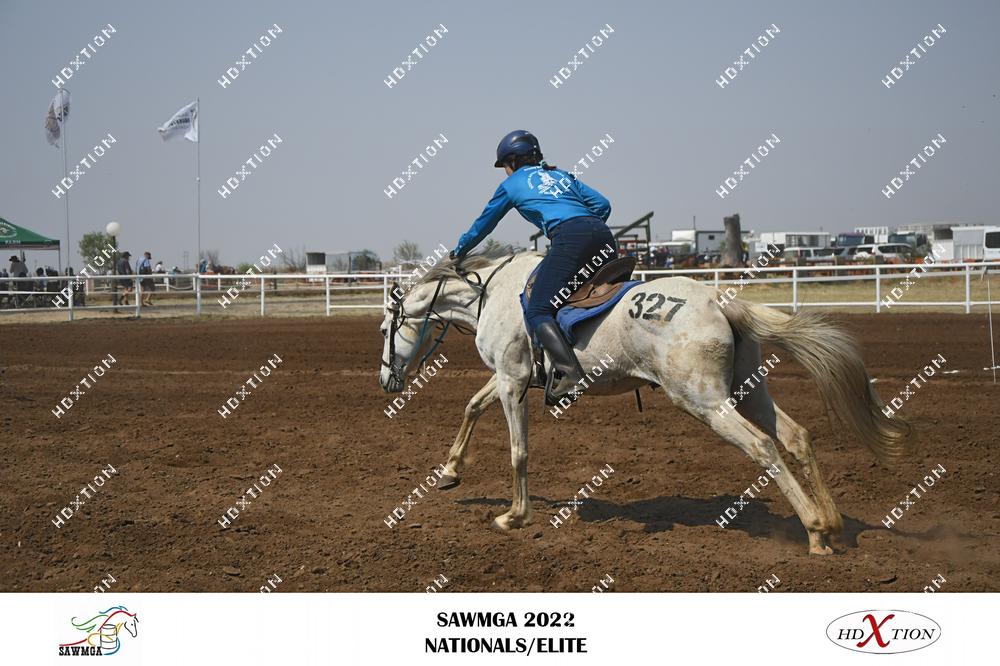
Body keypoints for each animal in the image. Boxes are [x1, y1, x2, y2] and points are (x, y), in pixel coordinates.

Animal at [378, 247, 911, 555]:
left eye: (385, 329)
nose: (386, 381)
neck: (492, 295)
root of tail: (718, 300)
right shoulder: (511, 376)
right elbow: (471, 405)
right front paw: (449, 472)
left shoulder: (511, 379)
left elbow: (518, 451)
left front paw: (514, 516)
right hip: (749, 391)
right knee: (796, 437)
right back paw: (832, 525)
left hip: (704, 401)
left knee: (762, 446)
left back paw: (815, 529)